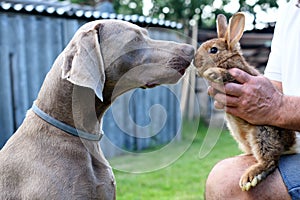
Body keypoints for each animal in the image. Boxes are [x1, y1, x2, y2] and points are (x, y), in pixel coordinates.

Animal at [193, 12, 296, 191]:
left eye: (213, 50)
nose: (194, 61)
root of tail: (290, 144)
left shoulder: (237, 77)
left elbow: (225, 74)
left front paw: (212, 73)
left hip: (262, 132)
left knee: (270, 160)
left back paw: (251, 176)